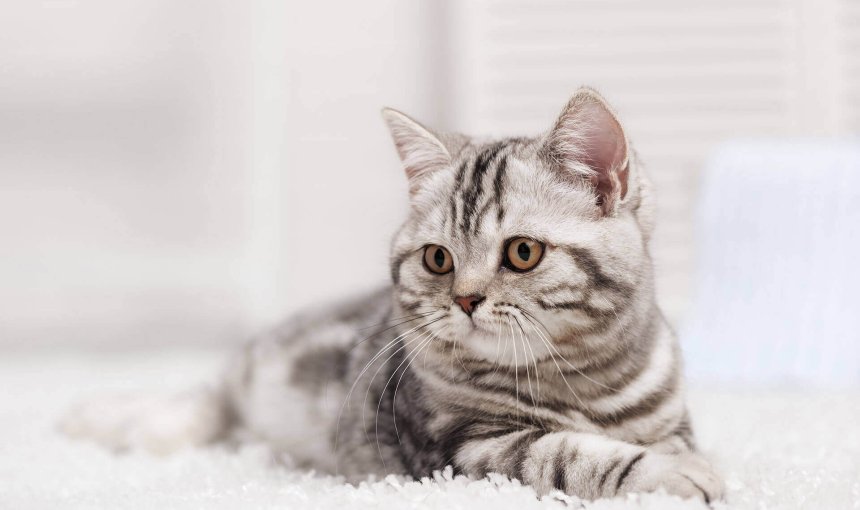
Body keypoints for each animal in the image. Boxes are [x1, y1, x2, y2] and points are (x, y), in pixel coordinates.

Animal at [63, 87, 724, 502]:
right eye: (438, 259)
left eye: (522, 253)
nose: (465, 299)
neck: (585, 382)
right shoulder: (466, 450)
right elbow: (573, 454)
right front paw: (680, 475)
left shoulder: (671, 415)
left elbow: (655, 438)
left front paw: (682, 459)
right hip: (245, 381)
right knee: (206, 400)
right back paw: (128, 425)